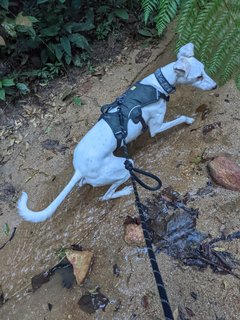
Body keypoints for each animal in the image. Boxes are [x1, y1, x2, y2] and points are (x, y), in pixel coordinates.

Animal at [18, 42, 218, 222]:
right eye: (198, 77)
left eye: (204, 70)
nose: (215, 86)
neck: (157, 85)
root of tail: (79, 169)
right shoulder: (156, 127)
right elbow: (179, 119)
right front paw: (189, 120)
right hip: (123, 168)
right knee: (106, 195)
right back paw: (126, 190)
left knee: (86, 183)